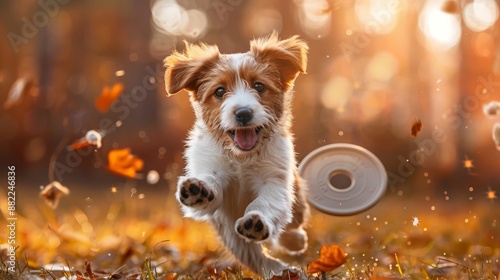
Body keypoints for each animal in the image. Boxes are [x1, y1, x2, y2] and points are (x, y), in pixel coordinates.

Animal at [165, 33, 308, 276]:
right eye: (219, 91)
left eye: (259, 86)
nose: (243, 113)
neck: (242, 157)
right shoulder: (212, 170)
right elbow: (210, 182)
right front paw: (198, 189)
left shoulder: (275, 179)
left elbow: (268, 203)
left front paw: (257, 220)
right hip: (230, 235)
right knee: (255, 257)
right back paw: (279, 270)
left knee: (291, 221)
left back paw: (294, 242)